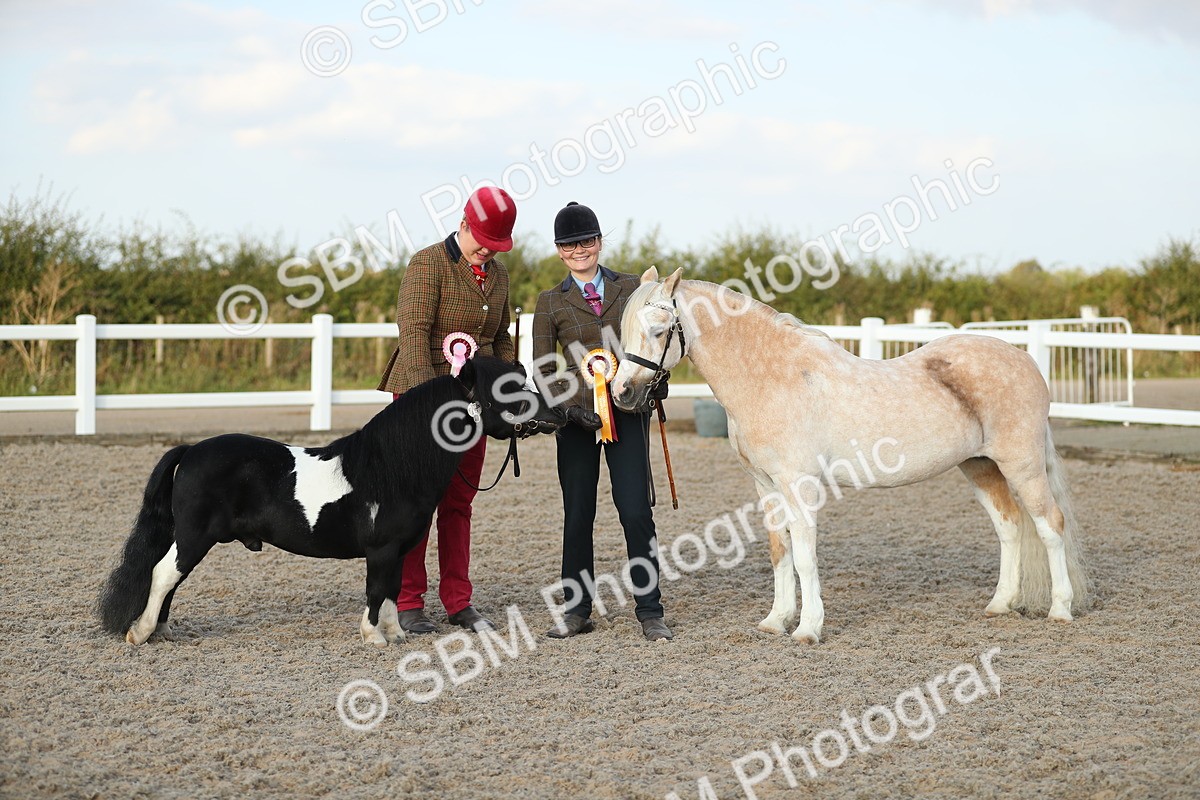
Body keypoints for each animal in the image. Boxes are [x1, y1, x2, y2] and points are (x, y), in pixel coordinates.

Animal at [97, 356, 566, 647]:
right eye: (508, 388)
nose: (559, 413)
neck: (392, 465)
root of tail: (191, 450)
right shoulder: (381, 549)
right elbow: (376, 590)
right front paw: (373, 637)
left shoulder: (399, 549)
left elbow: (392, 590)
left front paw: (394, 634)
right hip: (194, 536)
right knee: (163, 574)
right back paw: (140, 633)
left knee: (169, 578)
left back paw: (160, 631)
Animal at [612, 267, 1088, 644]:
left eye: (660, 330)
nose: (622, 393)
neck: (773, 378)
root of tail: (1025, 361)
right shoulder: (765, 486)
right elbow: (779, 551)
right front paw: (775, 621)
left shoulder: (800, 484)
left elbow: (805, 556)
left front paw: (807, 630)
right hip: (980, 467)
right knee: (1009, 526)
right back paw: (1000, 604)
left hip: (1022, 465)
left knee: (1050, 525)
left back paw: (1060, 610)